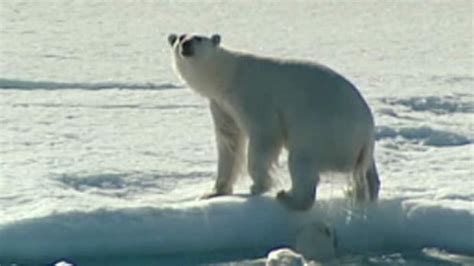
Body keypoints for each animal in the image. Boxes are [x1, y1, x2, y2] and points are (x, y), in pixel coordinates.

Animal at [168, 32, 380, 210]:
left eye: (197, 38)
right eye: (180, 37)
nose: (185, 44)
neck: (228, 75)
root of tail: (366, 132)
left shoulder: (252, 95)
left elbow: (265, 134)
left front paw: (258, 186)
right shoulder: (221, 105)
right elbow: (229, 141)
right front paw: (213, 192)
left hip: (325, 133)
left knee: (302, 160)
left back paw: (288, 197)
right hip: (356, 147)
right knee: (367, 172)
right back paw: (359, 191)